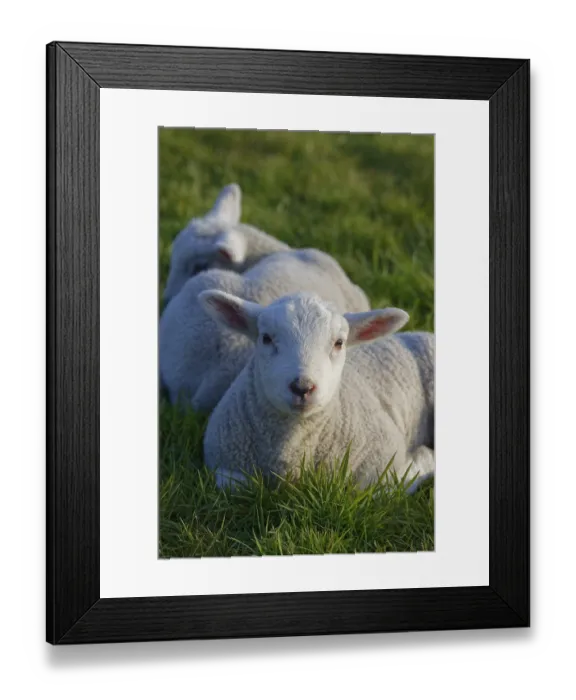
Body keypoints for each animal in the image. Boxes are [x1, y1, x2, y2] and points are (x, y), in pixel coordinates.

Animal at [200, 291, 434, 493]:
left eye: (339, 343)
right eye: (266, 338)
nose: (302, 387)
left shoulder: (384, 463)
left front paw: (422, 459)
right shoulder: (225, 464)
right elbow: (236, 486)